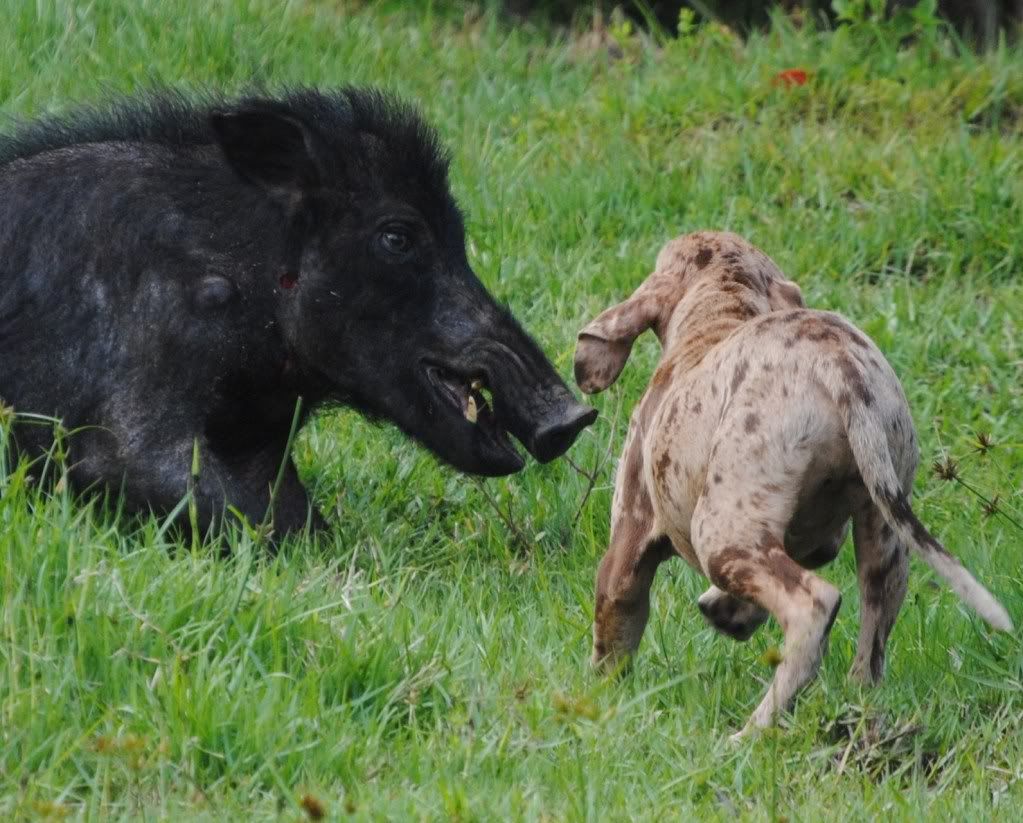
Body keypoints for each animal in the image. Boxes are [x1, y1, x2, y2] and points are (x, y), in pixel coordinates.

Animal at [576, 230, 1014, 741]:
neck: (718, 316)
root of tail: (839, 364)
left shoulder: (628, 546)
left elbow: (612, 633)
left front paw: (598, 703)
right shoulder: (819, 538)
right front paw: (728, 610)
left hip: (720, 534)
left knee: (813, 607)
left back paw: (753, 730)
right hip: (884, 536)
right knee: (870, 646)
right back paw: (857, 705)